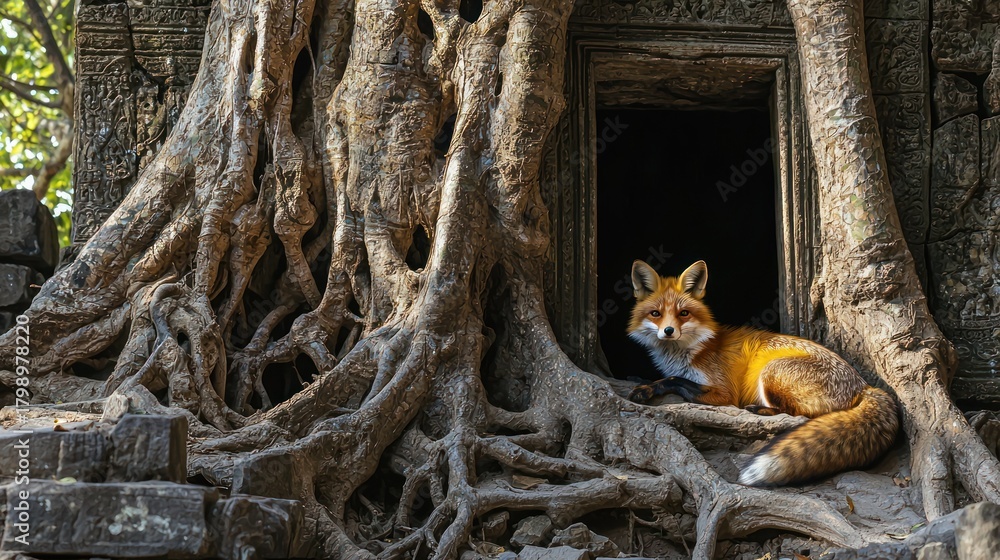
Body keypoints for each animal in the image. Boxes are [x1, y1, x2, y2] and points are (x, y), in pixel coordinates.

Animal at [626, 259, 898, 486]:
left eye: (683, 313)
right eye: (656, 314)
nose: (669, 331)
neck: (692, 350)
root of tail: (864, 385)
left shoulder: (722, 393)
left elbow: (676, 380)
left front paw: (647, 388)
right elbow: (668, 377)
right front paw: (641, 382)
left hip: (770, 372)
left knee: (799, 414)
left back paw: (760, 410)